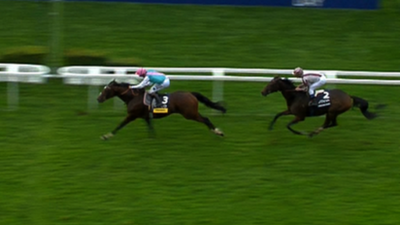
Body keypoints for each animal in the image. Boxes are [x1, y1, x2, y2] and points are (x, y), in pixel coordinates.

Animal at [97, 79, 227, 139]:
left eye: (106, 90)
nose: (98, 99)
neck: (134, 97)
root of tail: (191, 94)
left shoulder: (131, 115)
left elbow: (120, 124)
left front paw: (107, 136)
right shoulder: (145, 117)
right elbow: (150, 127)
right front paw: (152, 138)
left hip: (190, 114)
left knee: (206, 119)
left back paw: (218, 132)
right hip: (191, 113)